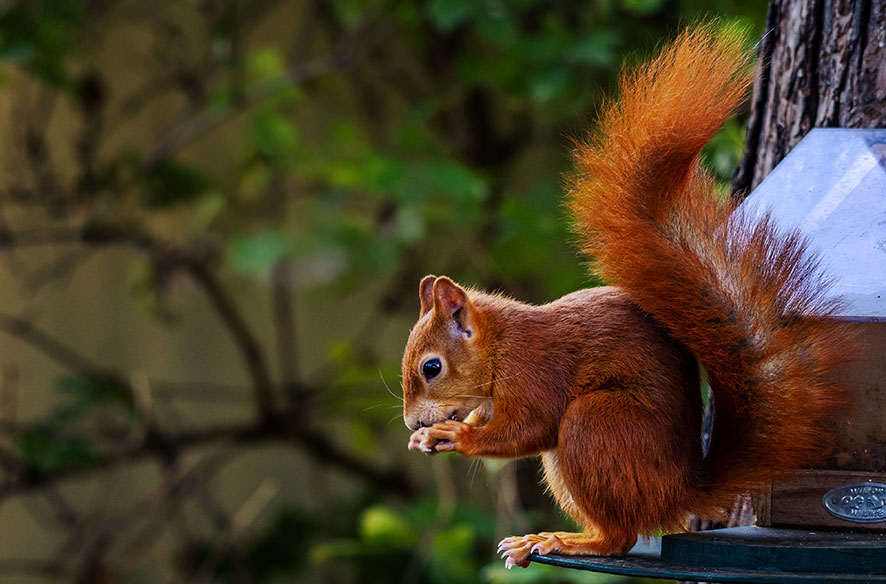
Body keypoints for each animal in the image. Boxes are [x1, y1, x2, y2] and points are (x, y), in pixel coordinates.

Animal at [400, 25, 852, 568]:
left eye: (432, 367)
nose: (409, 421)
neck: (500, 347)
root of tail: (680, 490)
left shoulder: (536, 371)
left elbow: (527, 428)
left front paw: (454, 434)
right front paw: (429, 435)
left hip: (597, 426)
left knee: (619, 536)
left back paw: (564, 540)